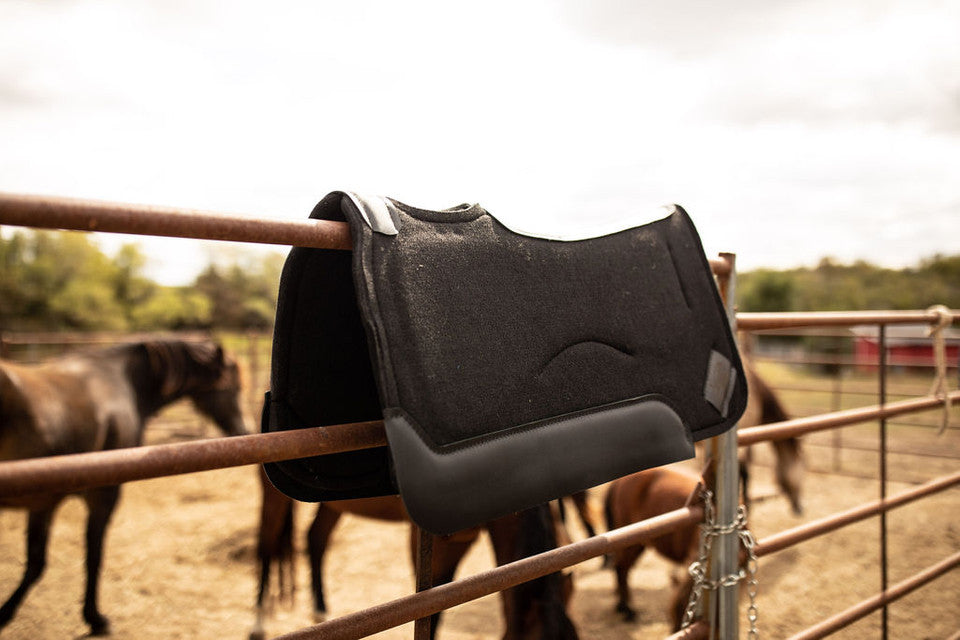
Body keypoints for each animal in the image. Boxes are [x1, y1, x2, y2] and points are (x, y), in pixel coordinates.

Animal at [0, 340, 251, 636]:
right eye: (233, 386)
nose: (244, 429)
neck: (122, 379)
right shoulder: (103, 495)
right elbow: (93, 556)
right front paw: (95, 618)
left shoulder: (44, 502)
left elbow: (35, 562)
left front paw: (5, 613)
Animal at [249, 464, 576, 640]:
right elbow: (428, 607)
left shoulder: (459, 542)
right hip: (273, 493)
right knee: (266, 545)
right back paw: (258, 623)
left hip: (333, 505)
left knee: (315, 538)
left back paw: (320, 611)